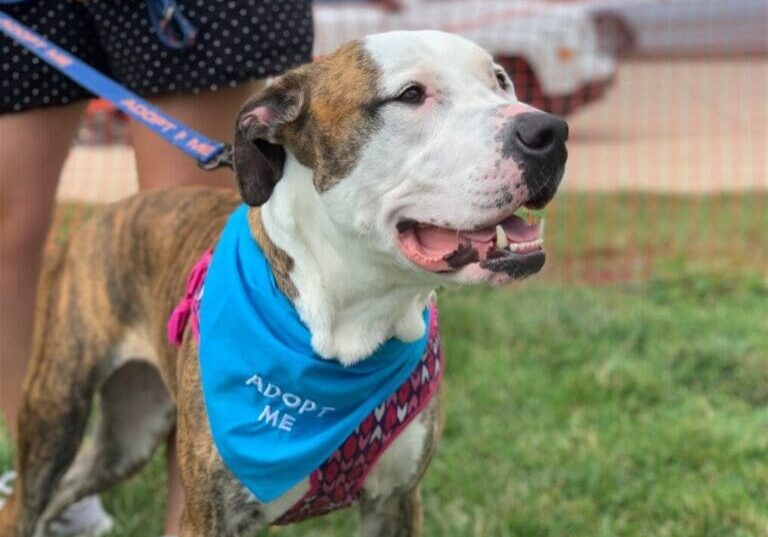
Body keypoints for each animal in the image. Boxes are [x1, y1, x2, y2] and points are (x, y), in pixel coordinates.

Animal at [0, 30, 564, 536]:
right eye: (410, 94)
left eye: (501, 82)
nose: (549, 131)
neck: (353, 320)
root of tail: (100, 215)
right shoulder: (211, 518)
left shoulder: (395, 502)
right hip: (56, 412)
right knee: (26, 502)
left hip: (131, 433)